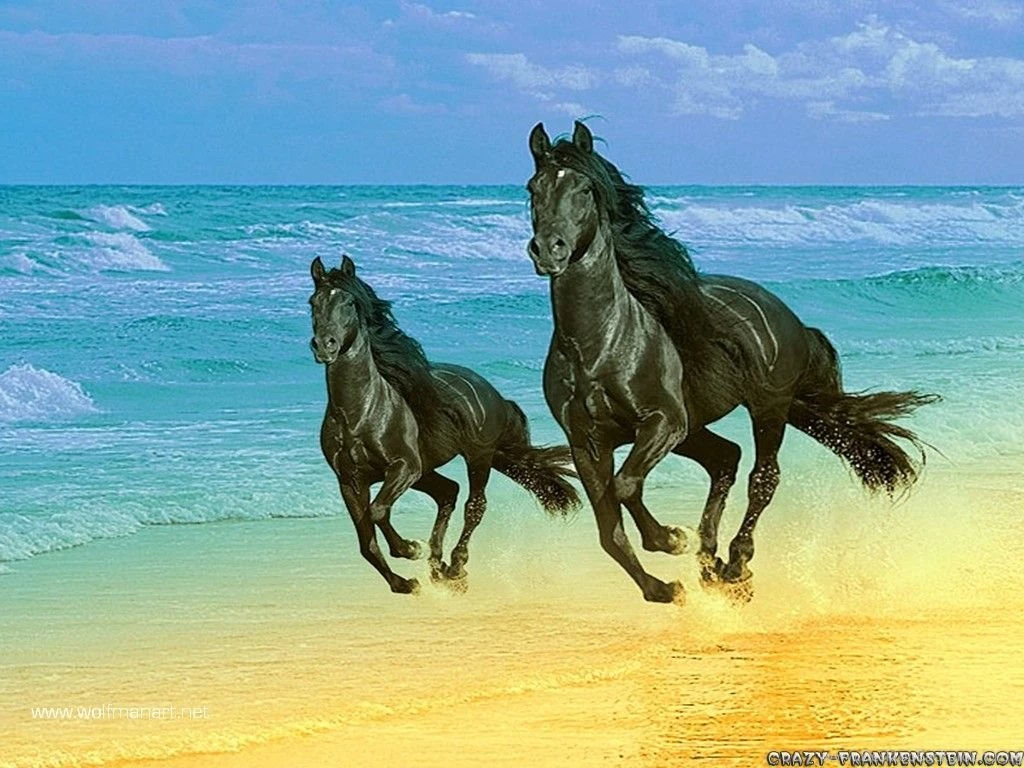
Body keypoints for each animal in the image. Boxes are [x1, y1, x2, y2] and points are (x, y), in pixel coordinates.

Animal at [309, 254, 580, 594]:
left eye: (348, 303)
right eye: (313, 302)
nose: (324, 346)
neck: (359, 415)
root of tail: (493, 393)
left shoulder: (404, 467)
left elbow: (378, 511)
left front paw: (410, 548)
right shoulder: (350, 481)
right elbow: (366, 542)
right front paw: (404, 583)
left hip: (477, 457)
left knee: (474, 505)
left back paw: (455, 567)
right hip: (428, 471)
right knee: (448, 492)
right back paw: (437, 567)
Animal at [525, 121, 938, 604]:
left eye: (586, 189)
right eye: (533, 188)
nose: (548, 250)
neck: (598, 346)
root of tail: (786, 315)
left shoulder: (663, 421)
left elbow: (626, 486)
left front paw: (671, 539)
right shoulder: (587, 443)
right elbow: (609, 530)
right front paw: (664, 588)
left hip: (766, 408)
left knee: (763, 476)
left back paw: (735, 565)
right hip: (697, 429)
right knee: (726, 458)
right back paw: (710, 562)